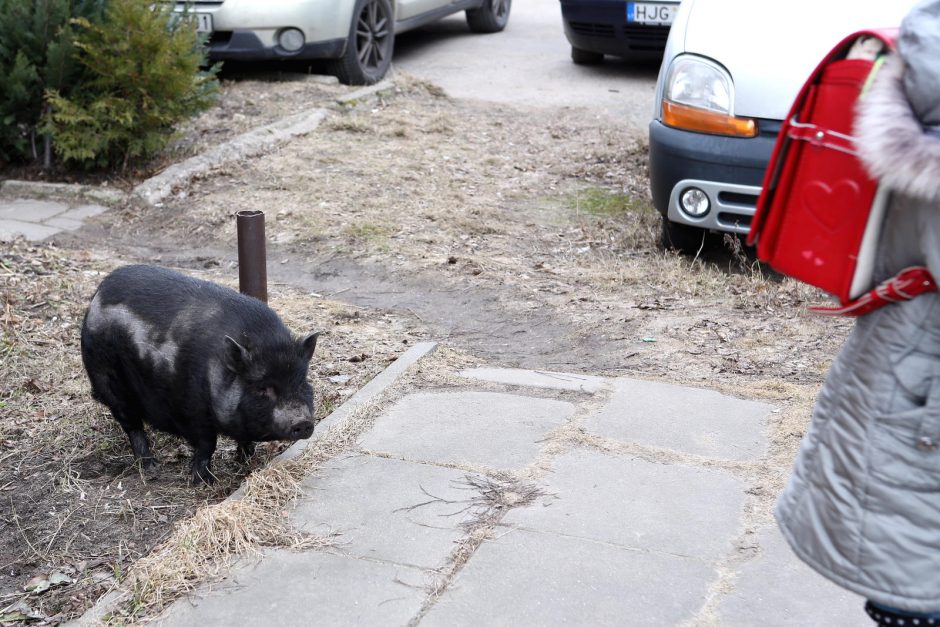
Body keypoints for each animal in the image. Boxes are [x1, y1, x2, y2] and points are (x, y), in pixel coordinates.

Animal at [80, 264, 320, 486]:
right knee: (132, 424)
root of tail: (99, 293)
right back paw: (151, 467)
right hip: (108, 378)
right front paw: (203, 481)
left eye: (301, 382)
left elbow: (243, 438)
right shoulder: (192, 410)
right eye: (262, 388)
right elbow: (207, 444)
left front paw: (247, 459)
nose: (303, 421)